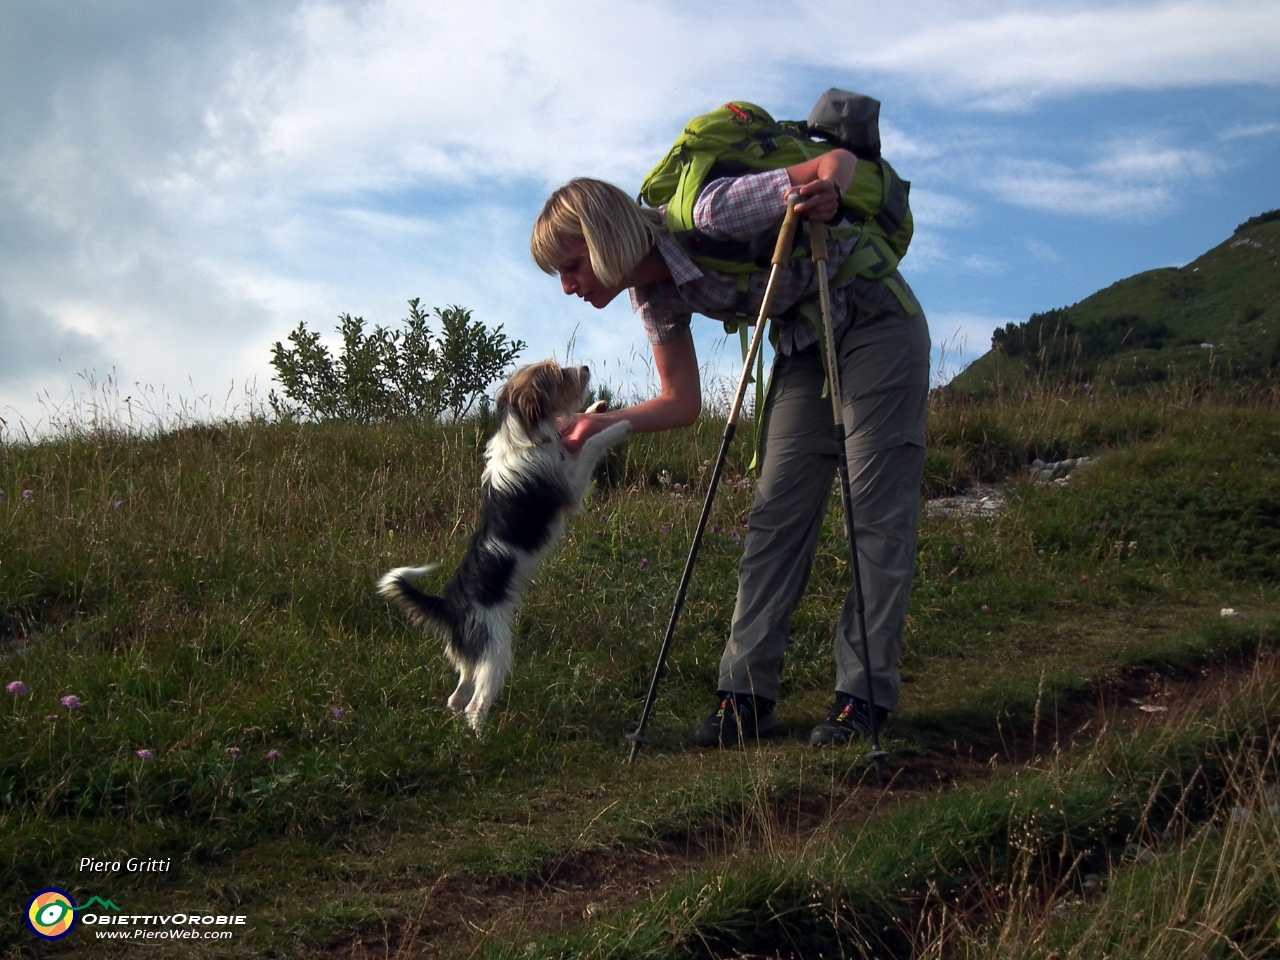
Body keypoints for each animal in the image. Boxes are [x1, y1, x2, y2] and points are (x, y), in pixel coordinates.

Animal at [376, 363, 632, 732]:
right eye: (558, 374)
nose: (584, 367)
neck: (522, 433)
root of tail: (450, 608)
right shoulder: (570, 486)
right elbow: (590, 445)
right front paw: (619, 425)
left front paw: (596, 409)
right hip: (496, 651)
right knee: (474, 705)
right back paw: (481, 738)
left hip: (476, 656)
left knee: (457, 696)